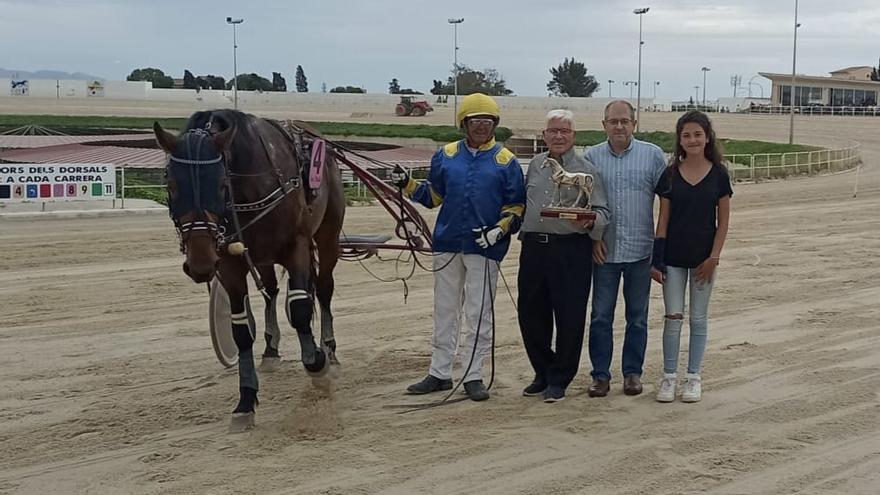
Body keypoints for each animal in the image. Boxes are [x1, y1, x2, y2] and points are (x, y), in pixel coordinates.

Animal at [153, 110, 346, 432]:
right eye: (171, 185)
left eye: (221, 183)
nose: (200, 263)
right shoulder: (228, 262)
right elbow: (241, 329)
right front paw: (245, 400)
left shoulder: (297, 246)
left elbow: (301, 309)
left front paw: (316, 362)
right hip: (263, 257)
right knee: (271, 292)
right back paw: (270, 348)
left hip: (327, 236)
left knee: (323, 289)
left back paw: (328, 348)